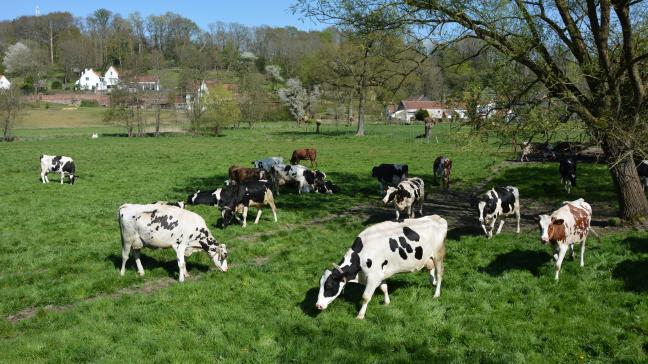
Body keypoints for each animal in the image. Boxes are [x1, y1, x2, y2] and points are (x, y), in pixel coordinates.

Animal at [316, 215, 448, 320]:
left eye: (329, 285)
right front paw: (386, 302)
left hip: (438, 255)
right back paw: (432, 282)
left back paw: (436, 293)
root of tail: (437, 217)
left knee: (439, 274)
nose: (318, 305)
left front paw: (360, 315)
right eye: (321, 284)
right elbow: (384, 288)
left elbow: (365, 297)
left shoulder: (373, 276)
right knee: (431, 270)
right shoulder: (380, 273)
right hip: (428, 257)